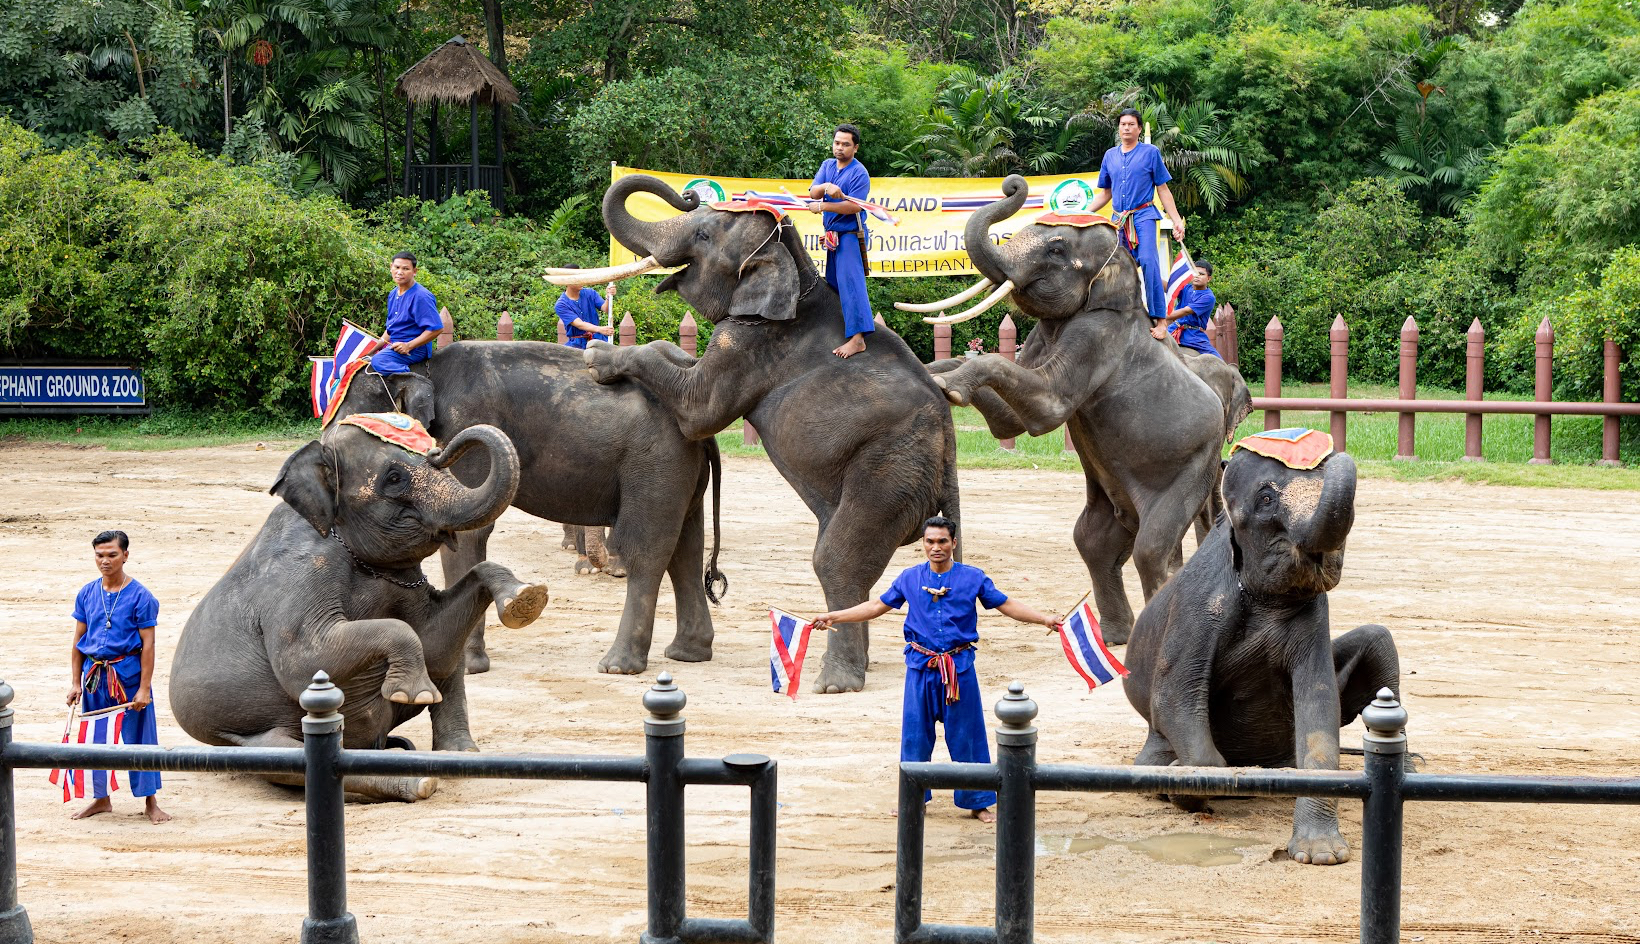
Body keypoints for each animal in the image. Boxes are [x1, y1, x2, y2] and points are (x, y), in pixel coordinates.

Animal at [169, 414, 550, 801]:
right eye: (394, 478)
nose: (438, 449)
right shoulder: (300, 571)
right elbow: (305, 661)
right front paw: (414, 692)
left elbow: (435, 646)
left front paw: (526, 599)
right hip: (241, 738)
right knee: (291, 759)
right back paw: (419, 781)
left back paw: (456, 756)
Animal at [330, 340, 724, 675]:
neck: (423, 367)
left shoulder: (465, 428)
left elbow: (469, 531)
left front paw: (467, 667)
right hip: (680, 469)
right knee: (686, 549)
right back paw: (687, 653)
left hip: (655, 464)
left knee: (648, 550)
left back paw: (618, 666)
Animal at [546, 174, 960, 694]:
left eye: (704, 235)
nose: (688, 193)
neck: (796, 266)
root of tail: (948, 459)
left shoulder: (749, 341)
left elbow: (699, 410)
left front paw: (598, 359)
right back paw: (858, 668)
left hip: (891, 471)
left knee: (836, 559)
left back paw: (834, 683)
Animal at [913, 174, 1223, 644]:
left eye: (1057, 250)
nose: (1012, 184)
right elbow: (1009, 420)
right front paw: (929, 374)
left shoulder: (1099, 334)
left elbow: (1046, 410)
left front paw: (949, 389)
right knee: (1093, 541)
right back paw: (1115, 637)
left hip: (1195, 465)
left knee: (1152, 548)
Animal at [1122, 436, 1400, 864]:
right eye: (1267, 499)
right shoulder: (1198, 604)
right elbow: (1173, 697)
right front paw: (1183, 783)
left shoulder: (1314, 613)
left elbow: (1319, 705)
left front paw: (1321, 856)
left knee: (1380, 639)